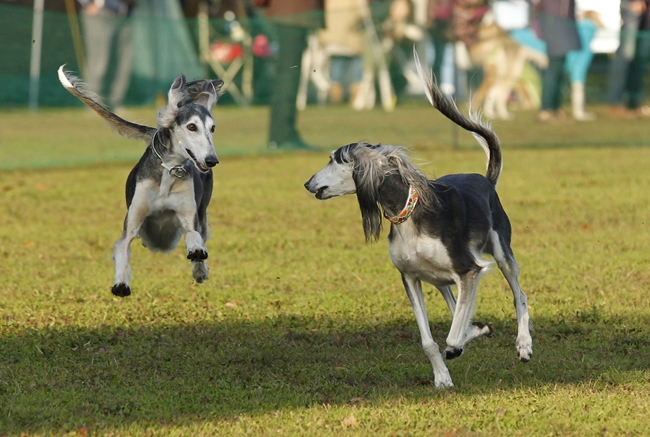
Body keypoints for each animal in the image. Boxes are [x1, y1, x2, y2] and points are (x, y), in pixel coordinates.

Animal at [58, 66, 225, 296]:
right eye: (192, 126)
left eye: (213, 128)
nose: (211, 160)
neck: (169, 172)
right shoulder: (132, 223)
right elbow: (122, 248)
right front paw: (121, 283)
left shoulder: (188, 216)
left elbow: (193, 236)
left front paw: (197, 254)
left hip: (201, 215)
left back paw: (200, 269)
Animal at [302, 52, 528, 386]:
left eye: (333, 159)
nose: (307, 183)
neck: (407, 214)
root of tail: (485, 179)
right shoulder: (411, 277)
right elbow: (429, 340)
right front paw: (442, 376)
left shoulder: (469, 270)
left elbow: (452, 337)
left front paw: (457, 347)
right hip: (439, 279)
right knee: (459, 309)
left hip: (500, 254)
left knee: (519, 295)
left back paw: (524, 344)